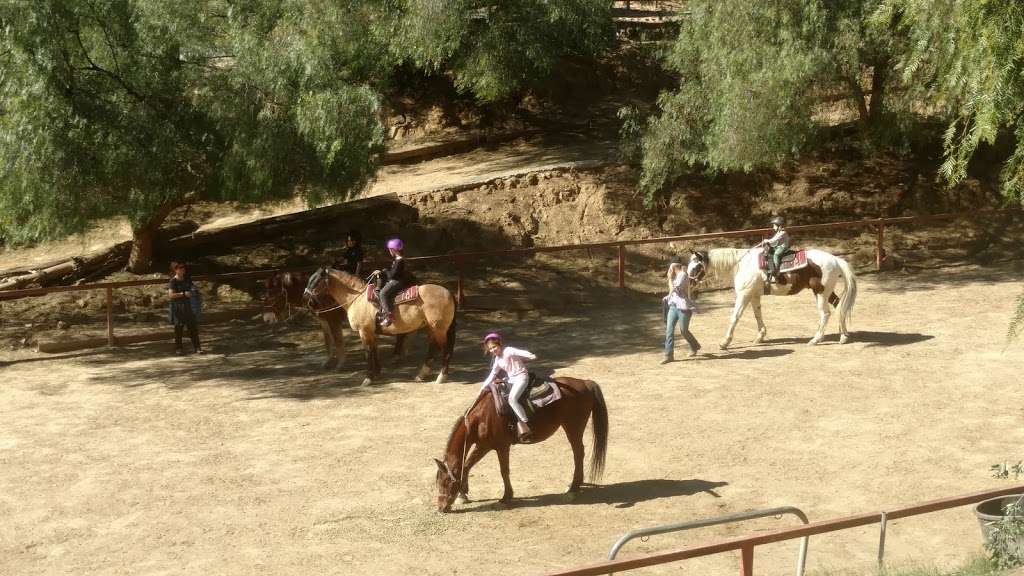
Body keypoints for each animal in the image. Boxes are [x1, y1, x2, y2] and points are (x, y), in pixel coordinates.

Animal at [303, 266, 456, 383]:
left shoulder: (363, 331)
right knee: (434, 347)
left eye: (316, 280)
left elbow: (368, 352)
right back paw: (421, 375)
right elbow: (374, 350)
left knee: (445, 348)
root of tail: (448, 292)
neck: (357, 298)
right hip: (432, 328)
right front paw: (377, 374)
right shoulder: (370, 332)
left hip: (438, 328)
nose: (306, 297)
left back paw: (441, 376)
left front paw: (368, 378)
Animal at [434, 377, 606, 510]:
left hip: (573, 427)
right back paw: (576, 484)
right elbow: (467, 466)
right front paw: (463, 495)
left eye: (446, 482)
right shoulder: (483, 446)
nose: (441, 508)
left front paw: (506, 497)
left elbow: (503, 471)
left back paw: (573, 488)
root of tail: (585, 383)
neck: (482, 417)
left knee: (578, 453)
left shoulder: (499, 447)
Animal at [704, 245, 856, 344]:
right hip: (827, 292)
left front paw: (725, 342)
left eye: (698, 264)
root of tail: (836, 260)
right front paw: (760, 336)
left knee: (825, 313)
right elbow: (757, 315)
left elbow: (735, 316)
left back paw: (815, 339)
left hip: (820, 292)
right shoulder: (754, 295)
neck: (742, 264)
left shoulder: (744, 295)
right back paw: (843, 336)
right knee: (839, 306)